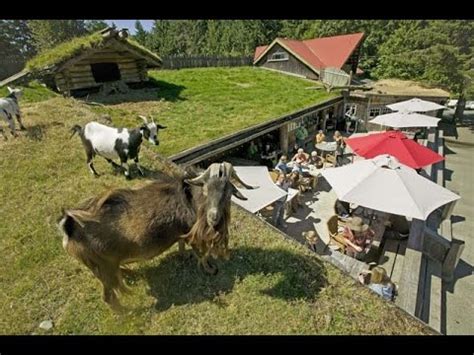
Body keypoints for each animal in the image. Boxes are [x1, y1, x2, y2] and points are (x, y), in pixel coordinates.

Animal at [57, 163, 258, 310]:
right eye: (206, 189)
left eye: (227, 192)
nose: (213, 218)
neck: (191, 200)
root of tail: (69, 228)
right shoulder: (192, 233)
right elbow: (200, 253)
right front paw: (210, 269)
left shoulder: (182, 232)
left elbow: (181, 244)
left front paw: (183, 256)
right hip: (103, 268)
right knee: (108, 297)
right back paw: (126, 313)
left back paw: (129, 273)